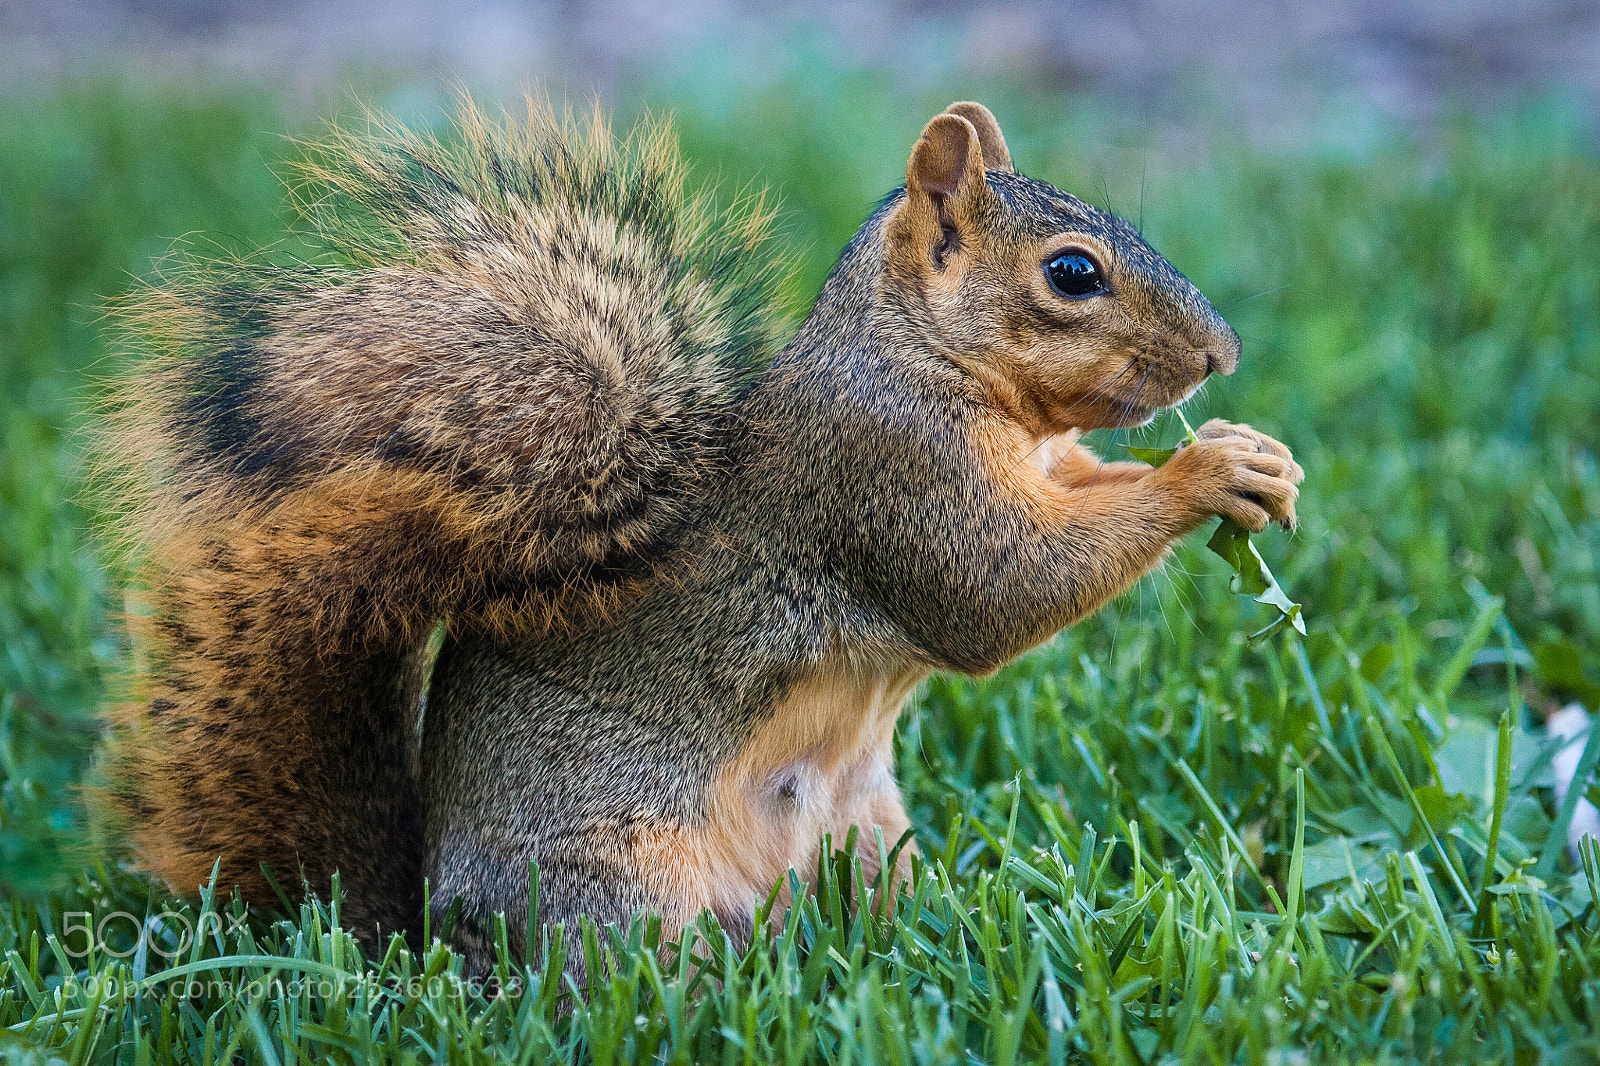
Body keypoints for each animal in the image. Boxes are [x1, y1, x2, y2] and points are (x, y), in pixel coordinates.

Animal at [99, 96, 1303, 971]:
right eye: (1071, 272)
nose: (1223, 355)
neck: (919, 357)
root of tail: (433, 930)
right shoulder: (884, 475)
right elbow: (999, 591)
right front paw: (1204, 472)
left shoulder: (1046, 463)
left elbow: (1086, 490)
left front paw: (1251, 454)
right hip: (623, 887)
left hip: (868, 839)